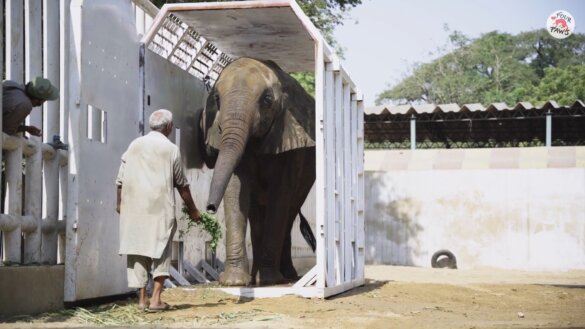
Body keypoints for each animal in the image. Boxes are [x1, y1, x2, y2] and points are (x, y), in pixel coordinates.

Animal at [201, 56, 318, 284]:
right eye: (217, 98)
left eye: (267, 100)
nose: (209, 208)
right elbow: (236, 190)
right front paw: (234, 282)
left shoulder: (286, 139)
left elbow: (279, 196)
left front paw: (271, 281)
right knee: (256, 216)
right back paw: (257, 278)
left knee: (289, 213)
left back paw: (286, 276)